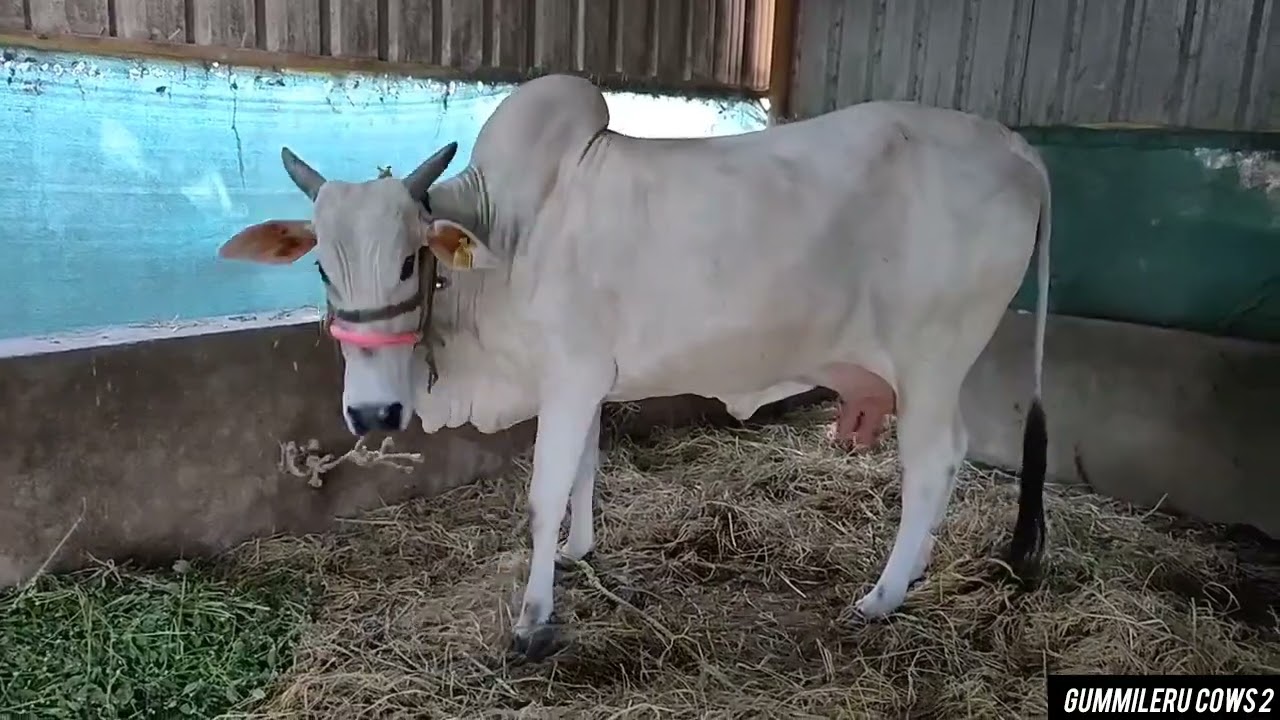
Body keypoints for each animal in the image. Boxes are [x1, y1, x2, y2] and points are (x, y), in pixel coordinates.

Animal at [219, 74, 1051, 661]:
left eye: (408, 260)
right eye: (322, 268)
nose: (373, 414)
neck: (505, 241)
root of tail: (1018, 149)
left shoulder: (570, 375)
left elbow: (544, 495)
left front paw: (532, 622)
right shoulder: (585, 383)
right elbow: (585, 470)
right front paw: (578, 554)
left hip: (931, 357)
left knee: (932, 462)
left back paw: (881, 596)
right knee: (950, 460)